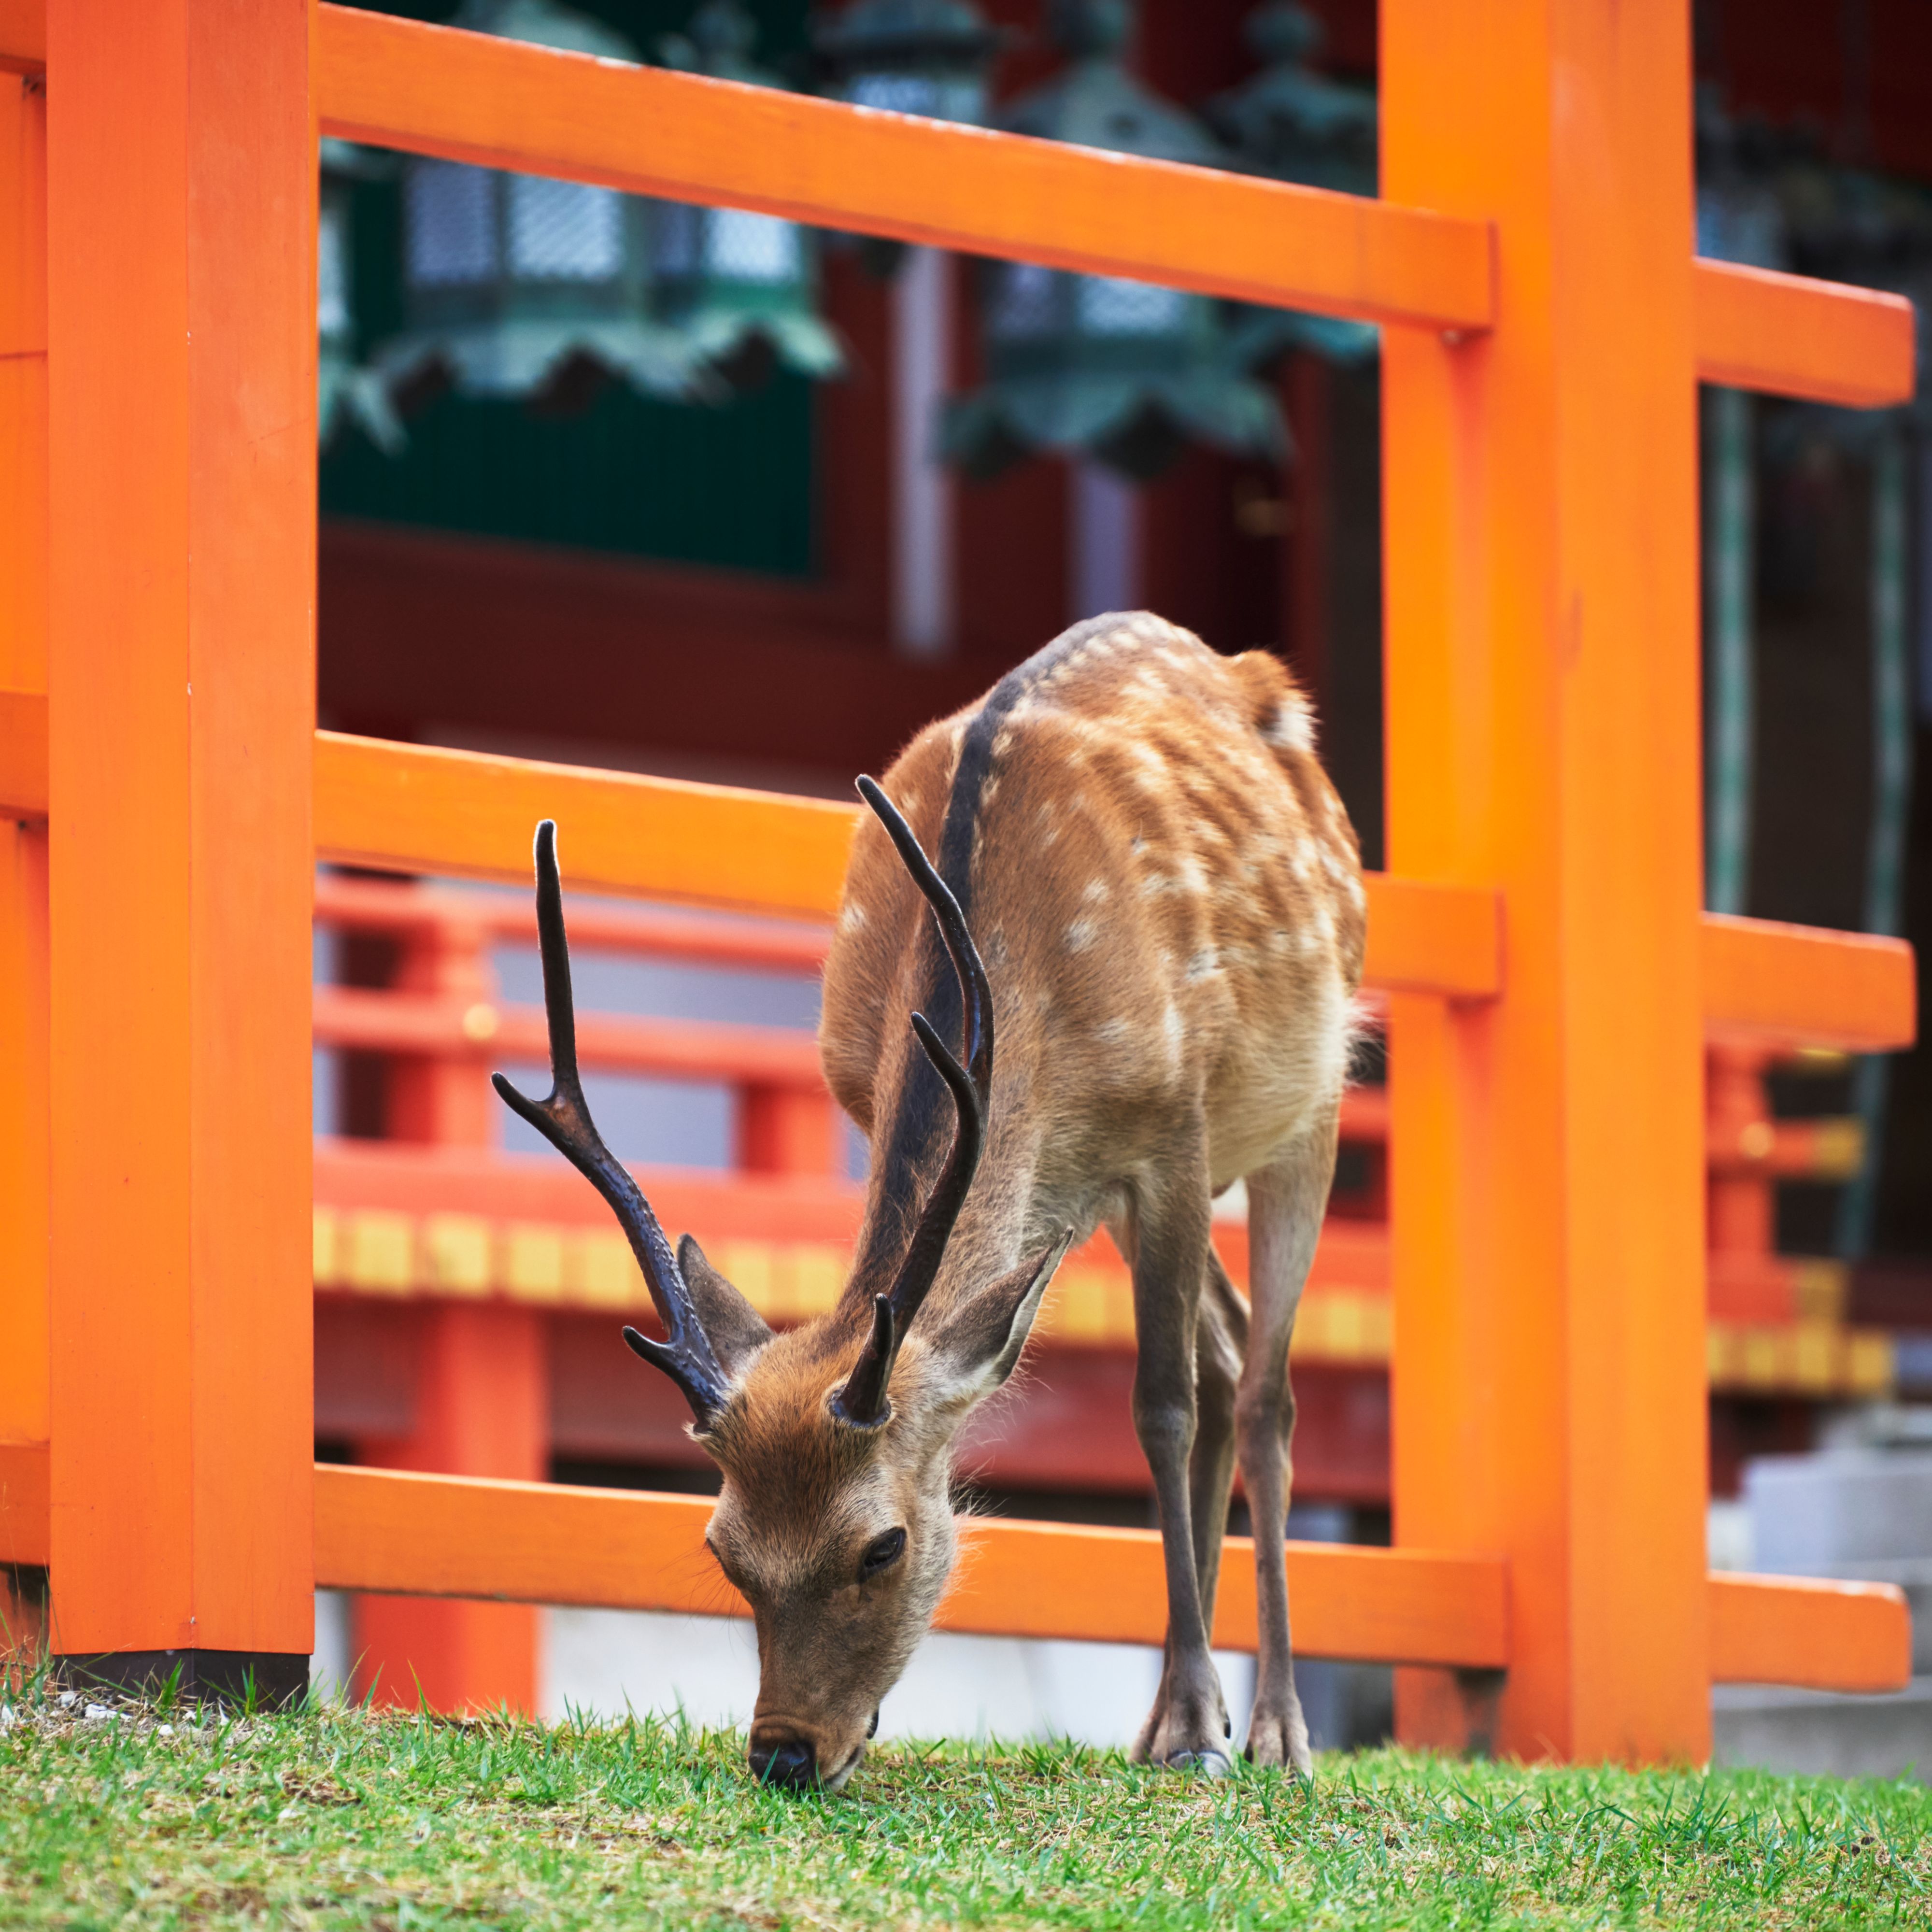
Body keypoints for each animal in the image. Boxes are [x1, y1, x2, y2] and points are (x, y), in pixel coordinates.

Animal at [495, 611, 1364, 1791]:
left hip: (1311, 1094)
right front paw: (1182, 1719)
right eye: (722, 1549)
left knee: (1266, 1388)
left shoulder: (1173, 1125)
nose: (783, 1751)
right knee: (1231, 1353)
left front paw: (1199, 1727)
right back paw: (1167, 1718)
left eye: (882, 1544)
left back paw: (1270, 1728)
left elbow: (1159, 1404)